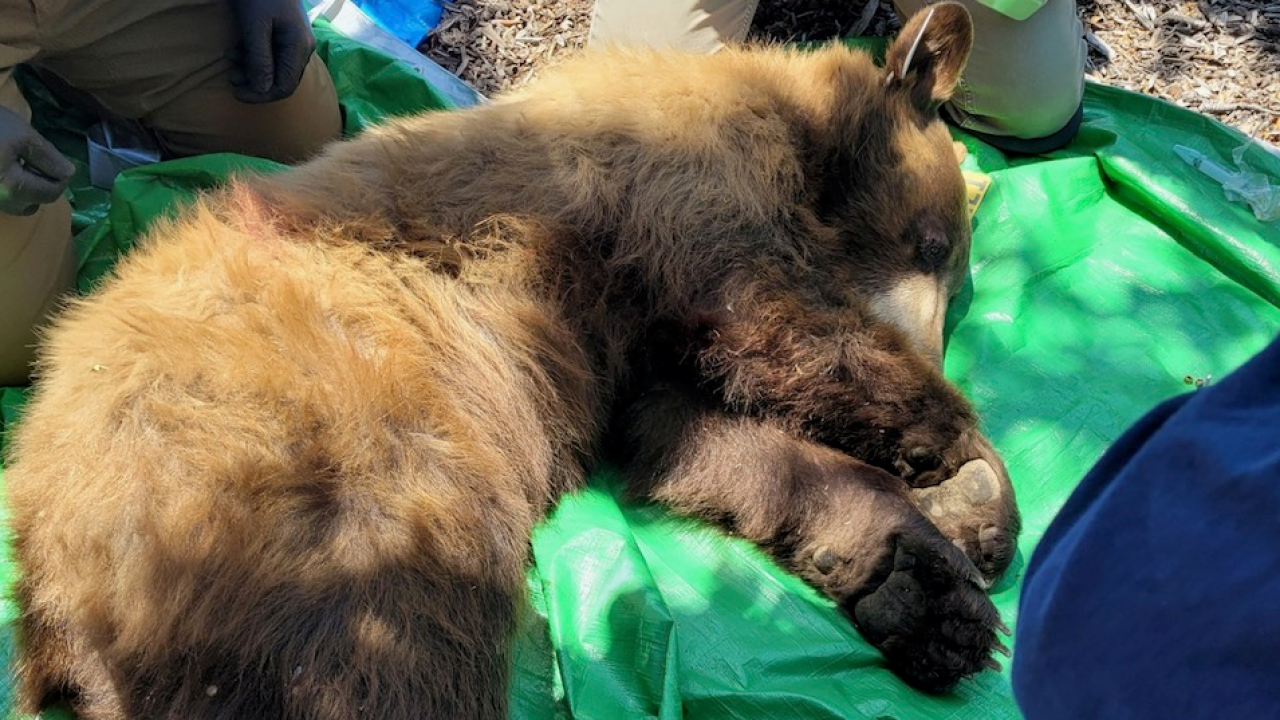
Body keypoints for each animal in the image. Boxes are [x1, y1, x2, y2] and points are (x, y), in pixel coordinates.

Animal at [2, 4, 1018, 718]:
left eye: (953, 264)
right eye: (934, 242)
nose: (935, 339)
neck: (800, 143)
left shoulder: (633, 352)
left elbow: (702, 439)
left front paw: (929, 576)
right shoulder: (685, 182)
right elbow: (775, 322)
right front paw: (972, 467)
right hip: (319, 460)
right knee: (377, 647)